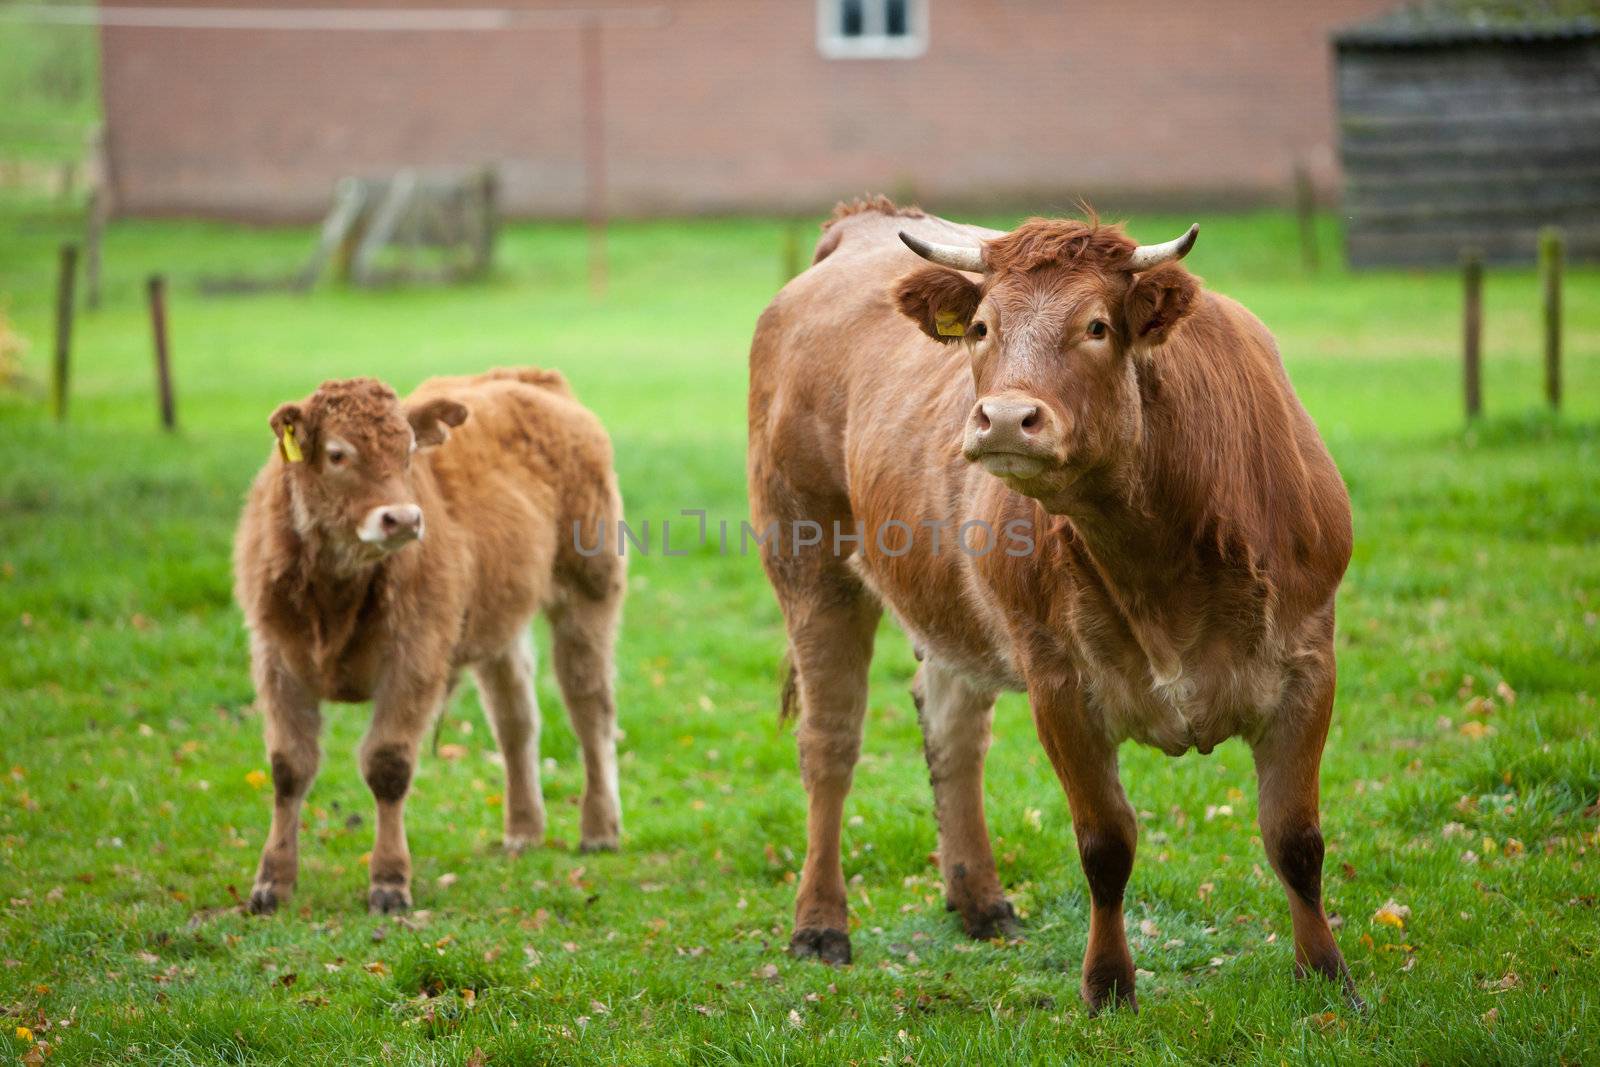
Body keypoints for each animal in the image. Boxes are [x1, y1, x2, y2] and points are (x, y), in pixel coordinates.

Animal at [236, 371, 624, 915]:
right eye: (337, 454)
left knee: (590, 710)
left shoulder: (415, 659)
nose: (402, 518)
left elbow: (388, 764)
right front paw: (272, 882)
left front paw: (389, 882)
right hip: (498, 623)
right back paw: (524, 829)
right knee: (516, 722)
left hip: (590, 590)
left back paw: (599, 829)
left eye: (408, 452)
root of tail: (530, 379)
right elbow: (290, 767)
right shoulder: (276, 660)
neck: (335, 594)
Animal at [755, 198, 1356, 1011]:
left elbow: (1295, 837)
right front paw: (1108, 985)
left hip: (951, 607)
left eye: (1097, 326)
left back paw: (980, 900)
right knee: (830, 744)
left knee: (952, 730)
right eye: (982, 328)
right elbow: (1105, 842)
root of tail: (866, 223)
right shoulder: (1060, 682)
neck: (1159, 555)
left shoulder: (1308, 661)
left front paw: (1328, 976)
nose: (1005, 418)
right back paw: (820, 922)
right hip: (810, 564)